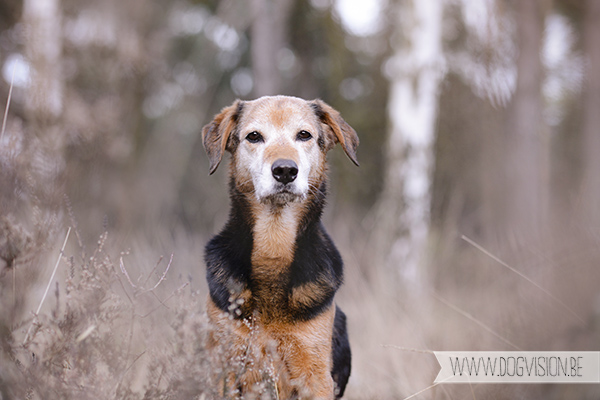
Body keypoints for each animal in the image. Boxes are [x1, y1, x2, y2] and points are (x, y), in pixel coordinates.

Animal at [203, 95, 360, 398]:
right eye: (254, 136)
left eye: (304, 135)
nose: (285, 170)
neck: (274, 239)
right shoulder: (224, 369)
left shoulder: (314, 373)